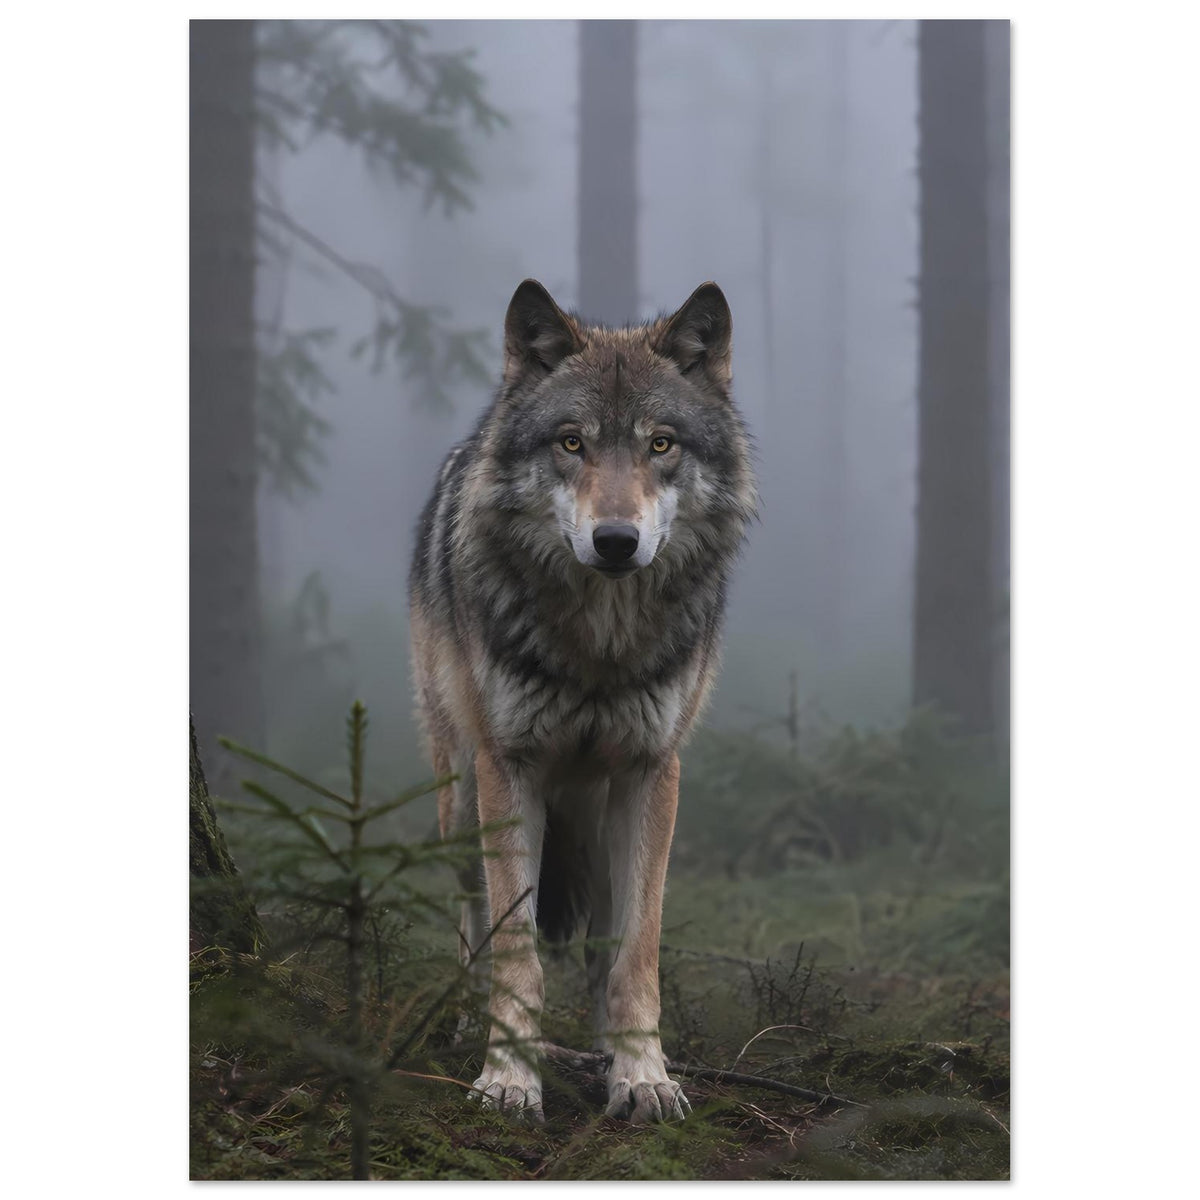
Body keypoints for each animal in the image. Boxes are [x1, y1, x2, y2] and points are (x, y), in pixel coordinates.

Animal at [409, 278, 756, 1123]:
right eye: (571, 443)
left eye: (661, 444)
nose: (616, 541)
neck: (600, 645)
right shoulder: (510, 768)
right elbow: (516, 951)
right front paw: (507, 1078)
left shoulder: (651, 772)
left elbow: (637, 954)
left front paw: (643, 1075)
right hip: (461, 799)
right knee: (471, 921)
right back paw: (461, 1024)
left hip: (597, 818)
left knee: (602, 940)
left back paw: (605, 1050)